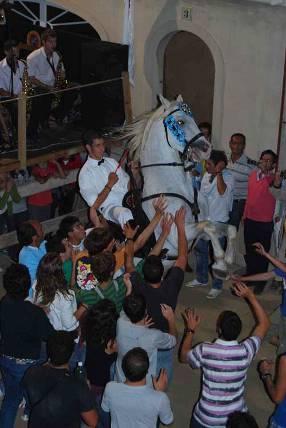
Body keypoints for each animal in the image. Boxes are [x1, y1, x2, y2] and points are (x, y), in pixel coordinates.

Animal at [122, 95, 236, 278]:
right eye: (180, 122)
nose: (206, 149)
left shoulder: (201, 234)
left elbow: (228, 228)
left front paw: (229, 258)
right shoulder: (176, 234)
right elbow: (208, 226)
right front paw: (219, 264)